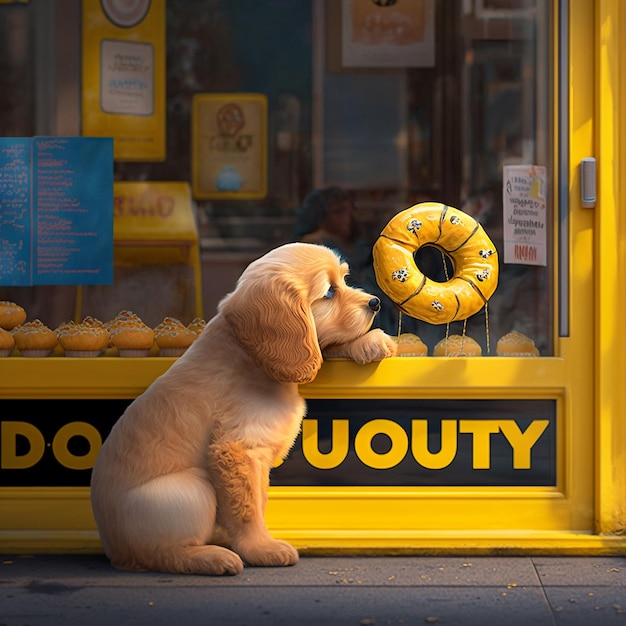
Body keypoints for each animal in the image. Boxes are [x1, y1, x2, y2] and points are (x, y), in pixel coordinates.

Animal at [90, 241, 394, 572]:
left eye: (344, 280)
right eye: (329, 292)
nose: (376, 302)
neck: (248, 355)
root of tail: (112, 548)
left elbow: (257, 500)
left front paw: (371, 342)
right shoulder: (237, 449)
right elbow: (247, 507)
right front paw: (262, 548)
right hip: (192, 488)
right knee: (161, 553)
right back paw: (212, 557)